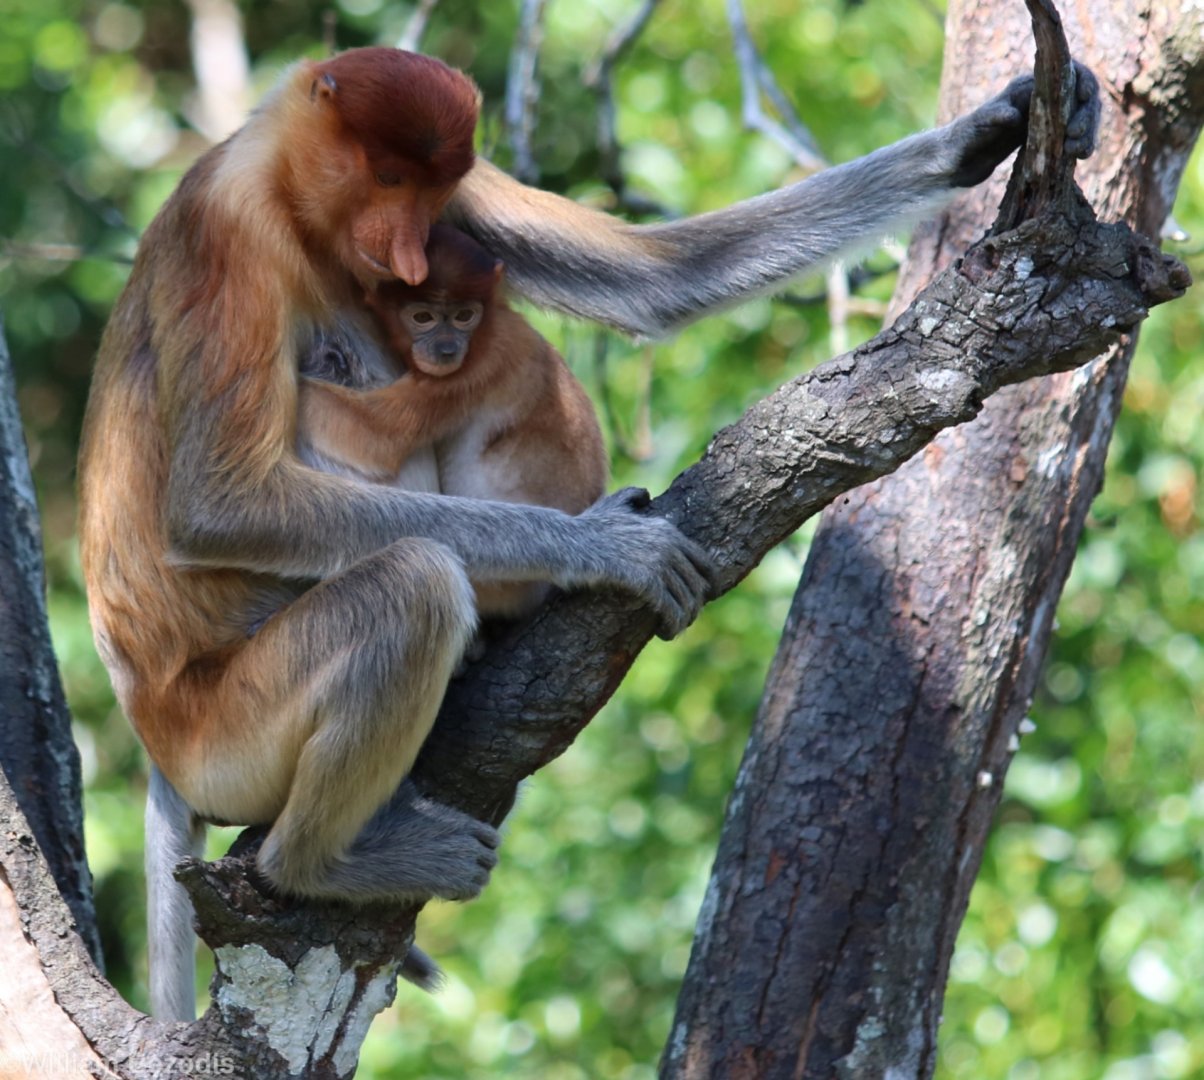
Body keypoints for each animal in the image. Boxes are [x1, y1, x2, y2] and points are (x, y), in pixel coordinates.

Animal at [297, 223, 609, 619]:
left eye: (464, 316)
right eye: (423, 317)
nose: (446, 350)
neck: (489, 324)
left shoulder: (476, 367)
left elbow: (376, 438)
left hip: (508, 584)